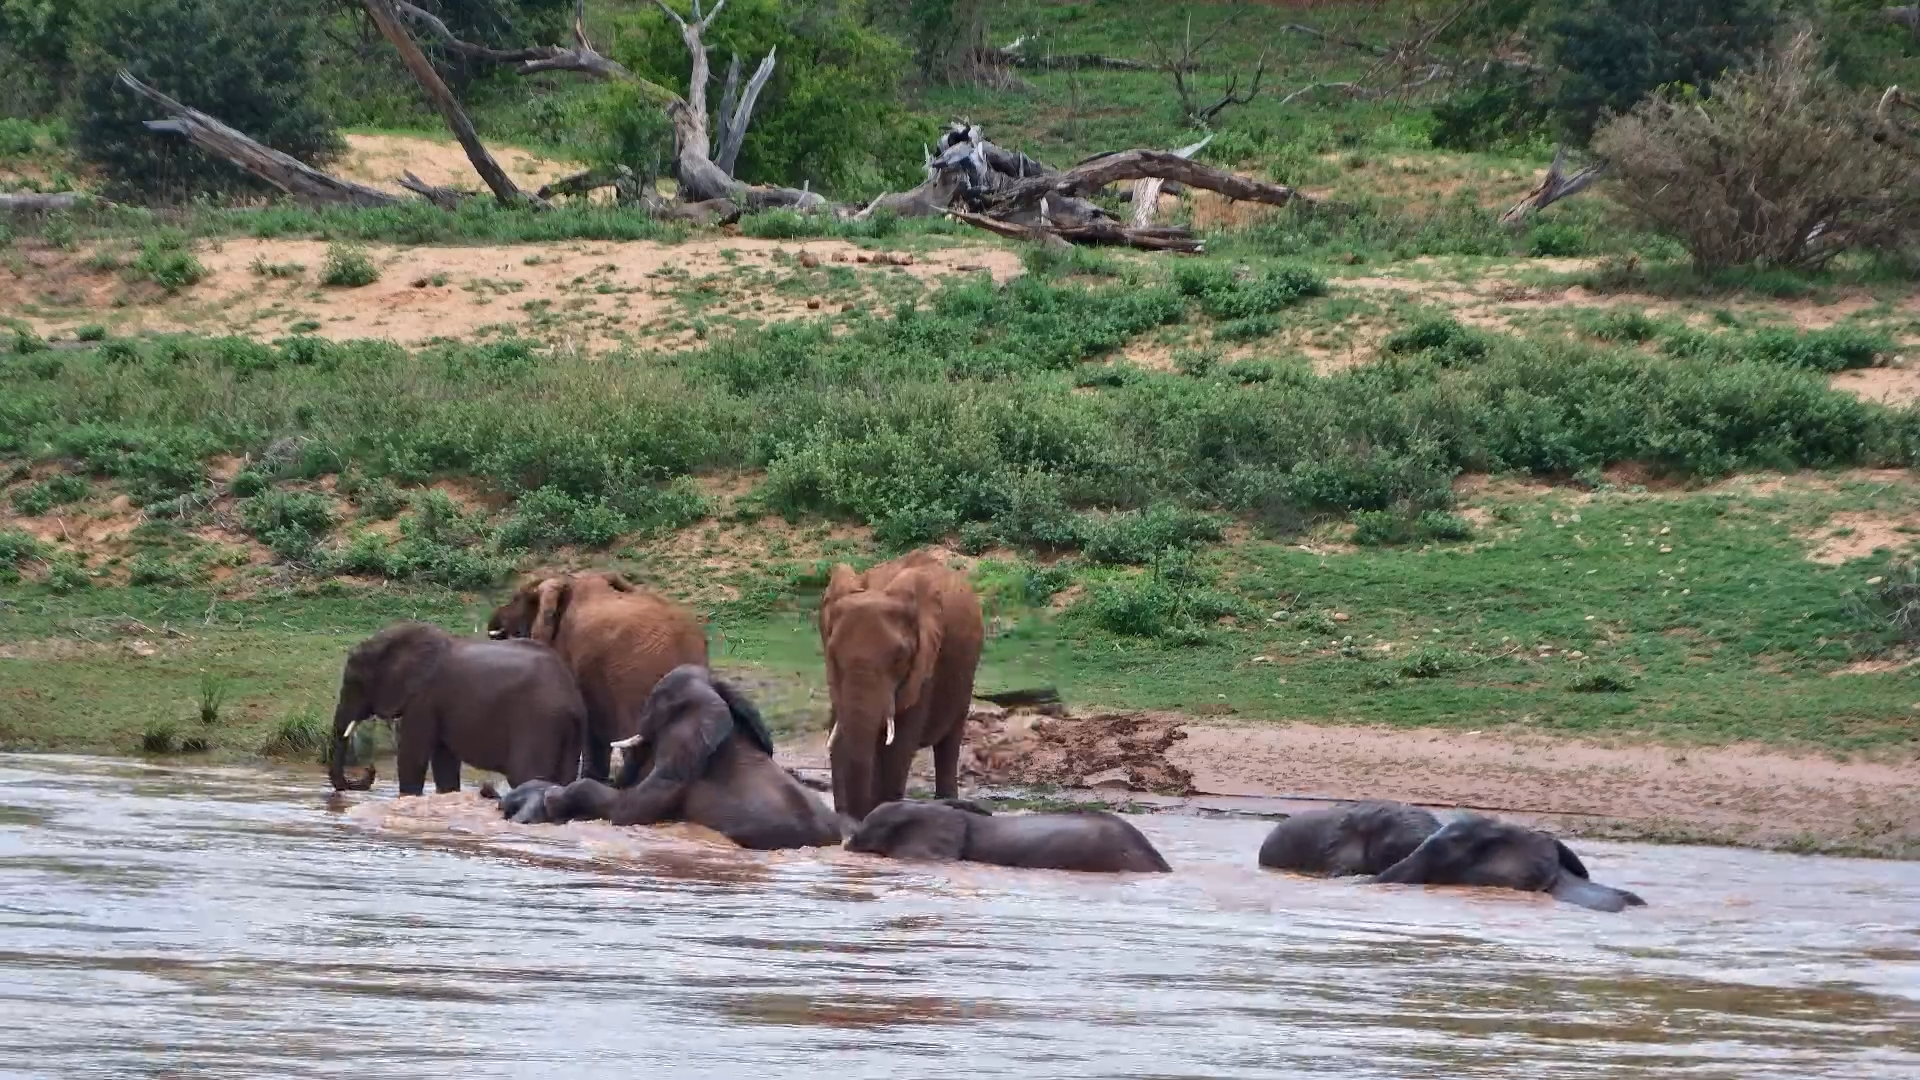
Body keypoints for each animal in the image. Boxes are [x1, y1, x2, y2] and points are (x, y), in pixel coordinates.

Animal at [328, 621, 587, 795]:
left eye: (353, 682)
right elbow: (444, 763)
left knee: (527, 777)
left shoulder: (424, 698)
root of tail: (573, 700)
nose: (369, 770)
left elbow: (413, 757)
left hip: (539, 723)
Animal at [817, 549, 984, 821]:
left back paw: (948, 802)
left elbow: (898, 746)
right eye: (833, 654)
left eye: (899, 658)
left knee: (950, 742)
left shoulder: (927, 665)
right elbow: (841, 734)